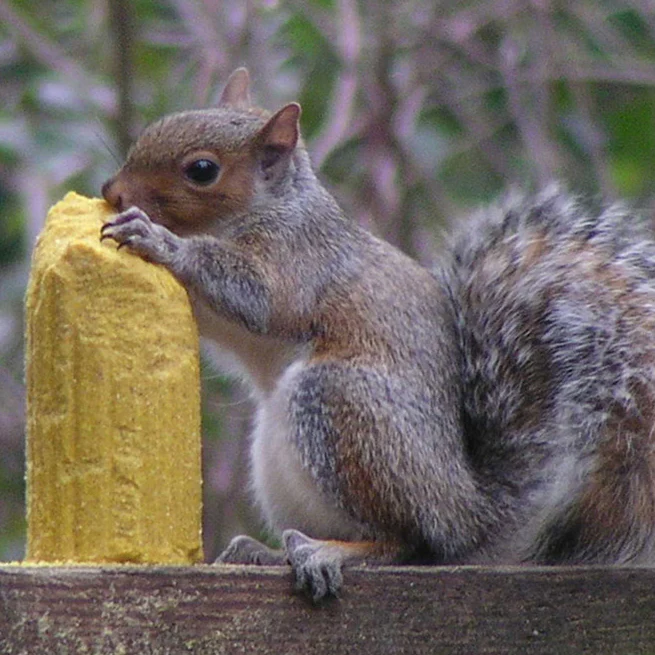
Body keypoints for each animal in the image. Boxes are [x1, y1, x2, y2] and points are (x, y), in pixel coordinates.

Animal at [101, 68, 655, 601]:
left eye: (201, 170)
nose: (112, 193)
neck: (266, 209)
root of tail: (470, 516)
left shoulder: (297, 263)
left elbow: (256, 297)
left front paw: (159, 240)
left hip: (344, 408)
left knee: (407, 544)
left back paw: (331, 553)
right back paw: (264, 551)